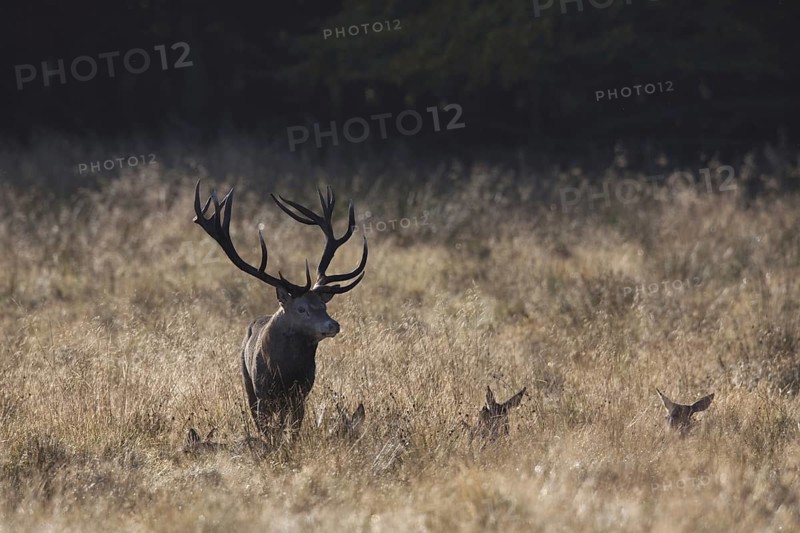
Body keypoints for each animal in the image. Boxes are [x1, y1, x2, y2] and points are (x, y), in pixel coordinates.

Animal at [193, 181, 368, 443]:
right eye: (301, 308)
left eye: (324, 306)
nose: (333, 325)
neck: (285, 373)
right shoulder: (262, 391)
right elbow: (269, 431)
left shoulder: (301, 392)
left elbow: (293, 430)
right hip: (247, 380)